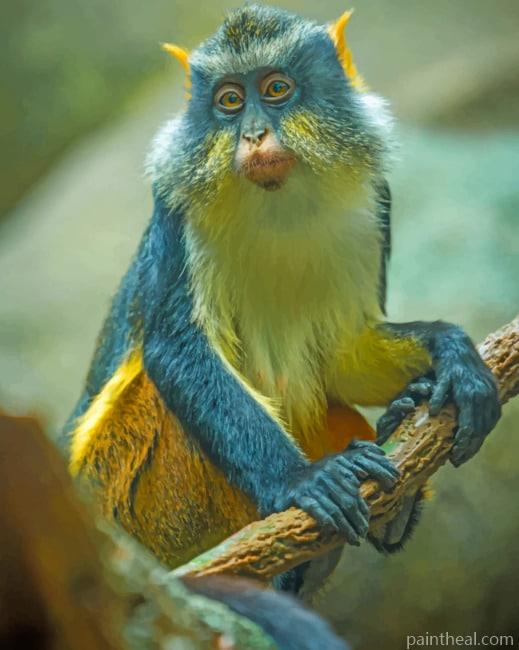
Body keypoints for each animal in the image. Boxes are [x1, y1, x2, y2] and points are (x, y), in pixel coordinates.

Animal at [63, 4, 500, 593]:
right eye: (228, 100)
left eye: (275, 89)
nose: (252, 133)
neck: (278, 198)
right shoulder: (176, 205)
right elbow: (175, 349)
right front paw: (301, 480)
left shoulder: (376, 202)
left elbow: (343, 355)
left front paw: (453, 354)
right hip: (123, 505)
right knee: (157, 396)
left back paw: (395, 493)